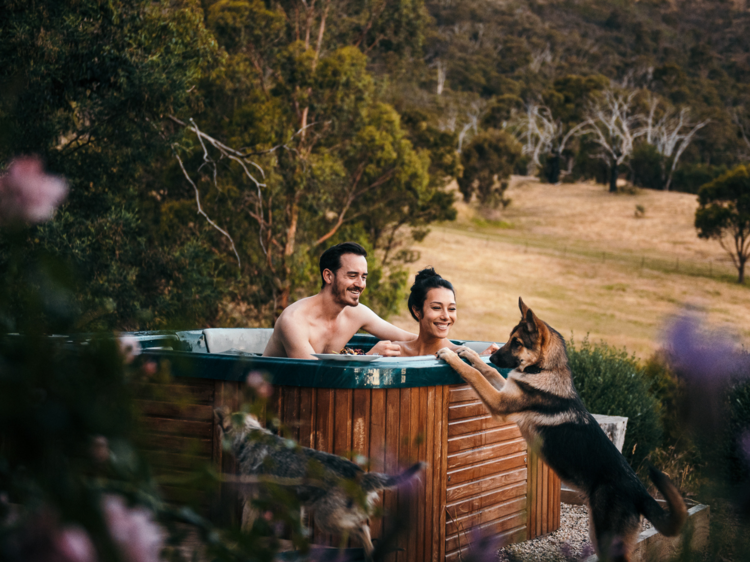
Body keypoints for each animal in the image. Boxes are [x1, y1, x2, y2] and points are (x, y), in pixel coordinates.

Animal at [214, 406, 426, 556]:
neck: (249, 436)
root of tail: (362, 476)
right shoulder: (296, 505)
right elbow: (299, 535)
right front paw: (297, 553)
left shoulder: (251, 502)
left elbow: (244, 528)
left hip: (325, 520)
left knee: (362, 529)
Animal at [438, 298, 692, 560]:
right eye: (509, 339)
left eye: (517, 343)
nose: (495, 357)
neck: (544, 370)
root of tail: (640, 492)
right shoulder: (505, 391)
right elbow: (485, 371)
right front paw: (469, 353)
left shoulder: (499, 402)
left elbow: (474, 374)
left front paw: (451, 356)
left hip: (606, 538)